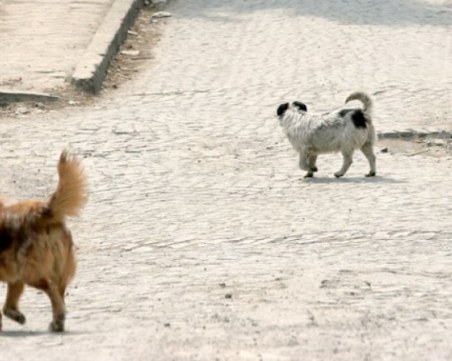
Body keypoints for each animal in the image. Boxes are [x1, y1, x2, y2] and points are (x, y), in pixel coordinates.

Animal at [0, 150, 86, 332]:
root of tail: (41, 213)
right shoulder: (13, 277)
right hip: (45, 271)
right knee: (58, 294)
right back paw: (56, 322)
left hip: (31, 274)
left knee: (52, 292)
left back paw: (58, 320)